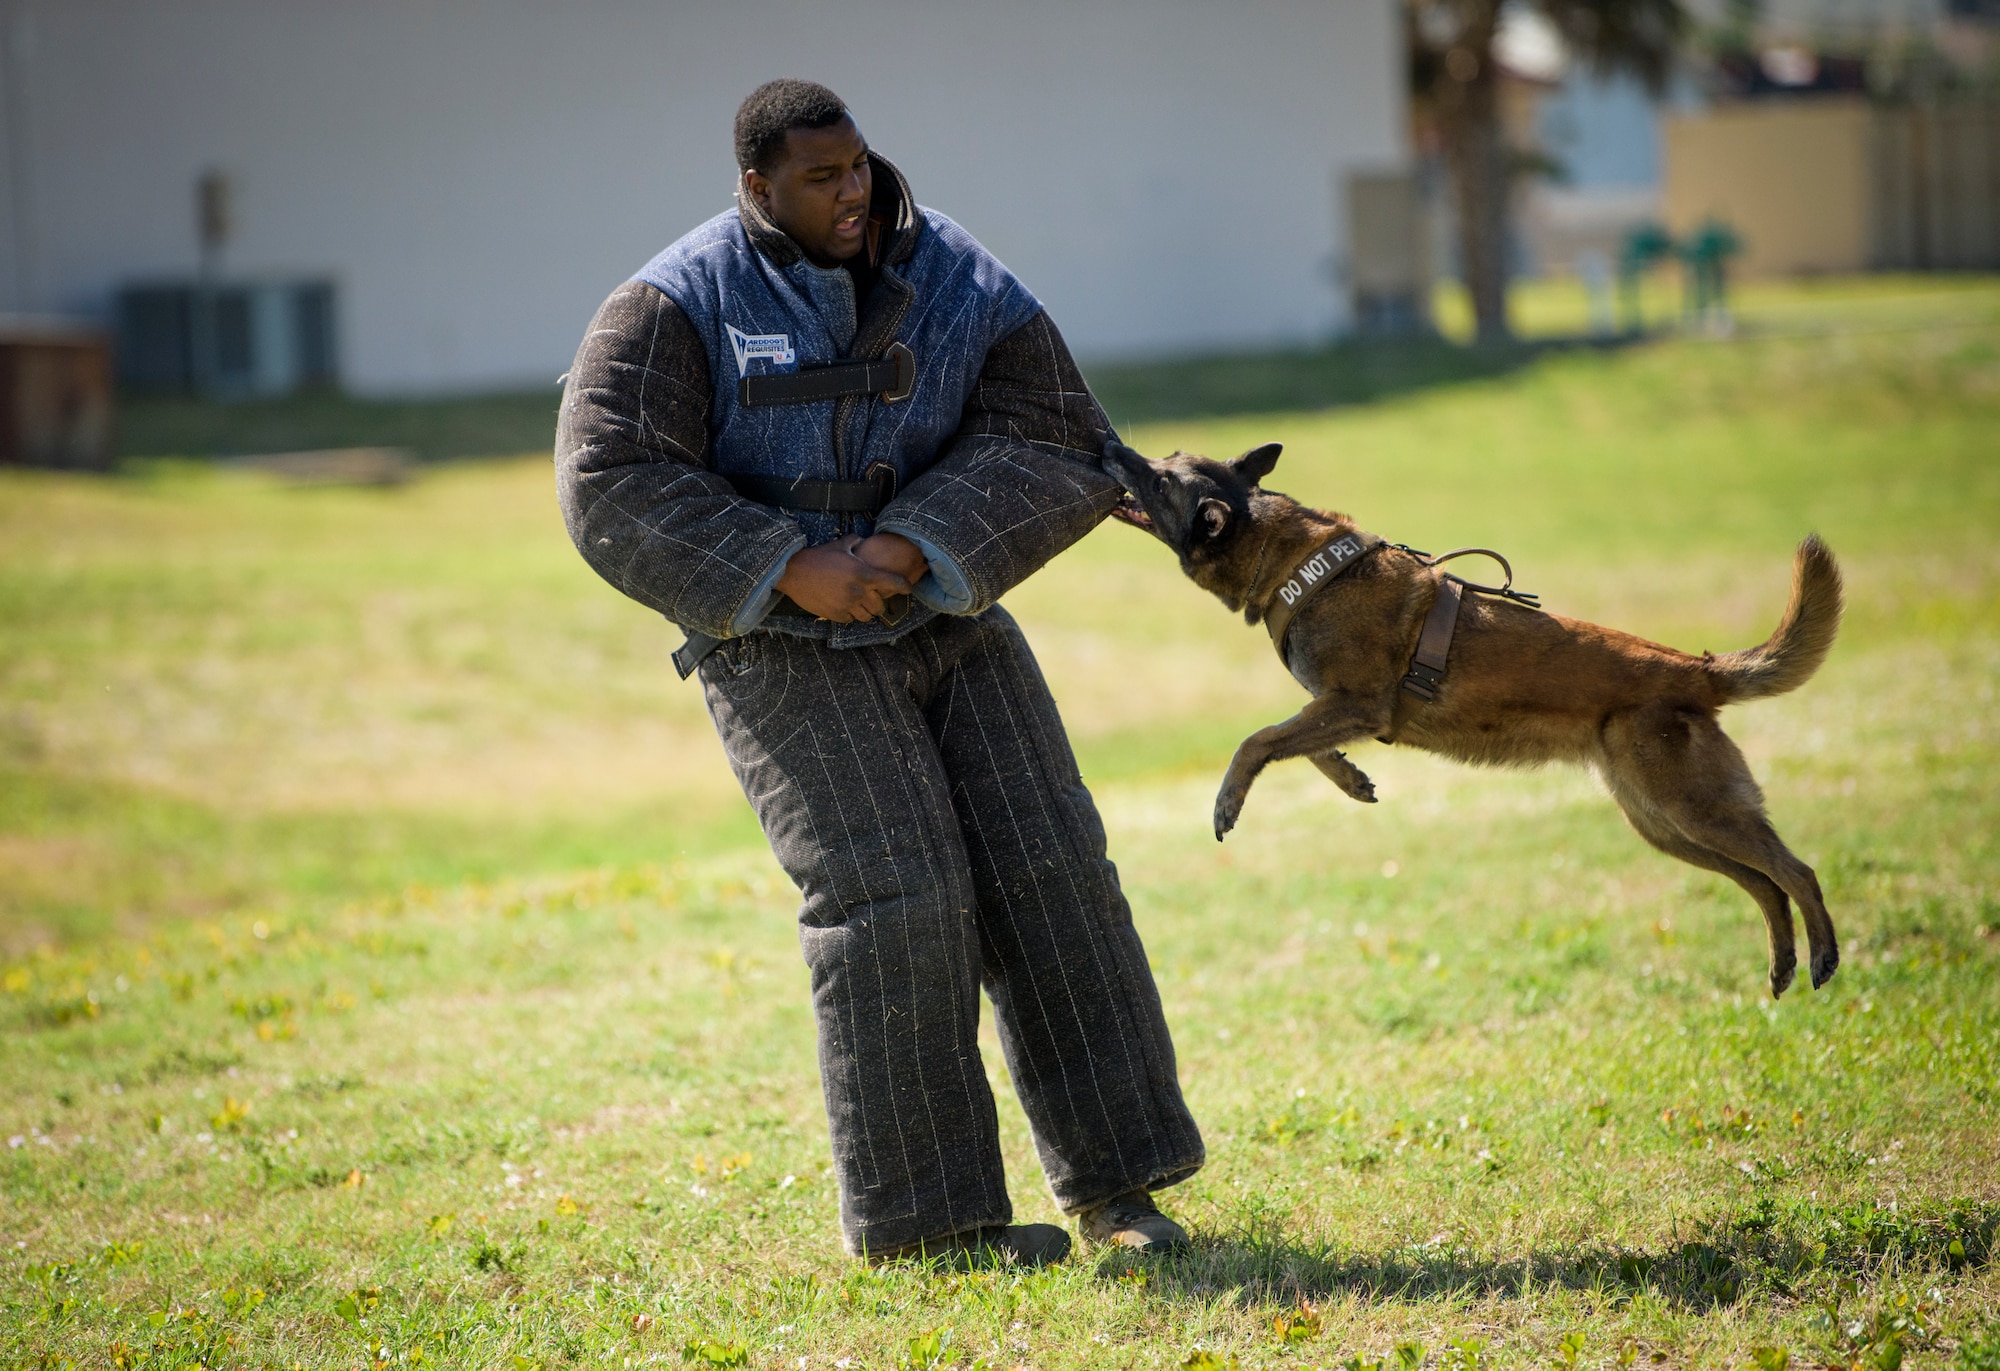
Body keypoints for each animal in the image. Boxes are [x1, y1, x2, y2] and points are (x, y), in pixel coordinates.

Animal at [1104, 439, 1848, 999]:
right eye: (1164, 459)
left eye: (1159, 477)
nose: (1112, 448)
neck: (1287, 559)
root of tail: (1696, 669)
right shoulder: (1340, 707)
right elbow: (1301, 746)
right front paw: (1351, 778)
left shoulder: (1354, 702)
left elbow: (1255, 741)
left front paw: (1227, 803)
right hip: (1664, 824)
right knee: (1764, 882)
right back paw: (1783, 963)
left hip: (1693, 809)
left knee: (1798, 871)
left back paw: (1823, 957)